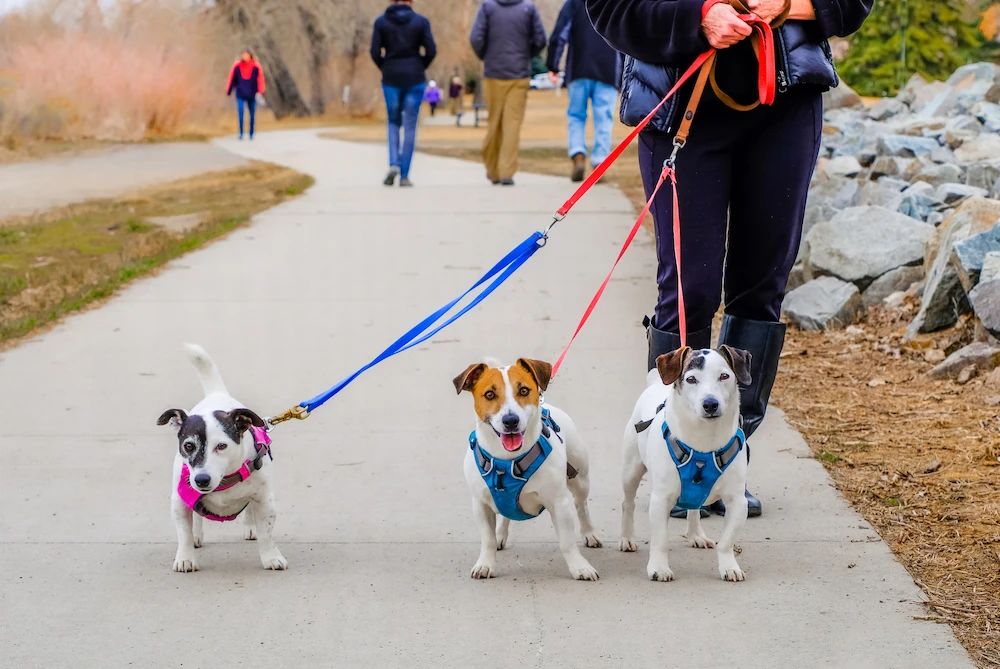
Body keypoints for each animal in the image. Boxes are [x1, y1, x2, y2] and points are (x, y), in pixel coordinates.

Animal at [156, 348, 288, 572]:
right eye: (188, 446)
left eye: (221, 446)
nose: (201, 479)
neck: (224, 479)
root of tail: (216, 394)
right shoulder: (180, 502)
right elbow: (184, 534)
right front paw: (185, 558)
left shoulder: (264, 500)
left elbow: (266, 534)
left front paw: (271, 557)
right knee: (195, 518)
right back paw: (197, 536)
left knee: (249, 510)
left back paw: (250, 528)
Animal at [454, 358, 600, 580]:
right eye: (489, 394)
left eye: (523, 390)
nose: (510, 421)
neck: (508, 461)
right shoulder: (480, 505)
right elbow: (487, 539)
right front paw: (486, 563)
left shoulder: (560, 504)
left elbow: (567, 542)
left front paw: (579, 567)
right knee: (505, 515)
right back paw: (500, 535)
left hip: (580, 479)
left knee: (581, 505)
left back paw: (589, 533)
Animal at [620, 344, 752, 580]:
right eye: (691, 379)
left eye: (724, 376)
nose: (710, 404)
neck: (704, 441)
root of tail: (655, 384)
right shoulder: (661, 499)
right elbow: (660, 540)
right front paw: (659, 567)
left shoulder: (738, 502)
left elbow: (726, 542)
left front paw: (729, 566)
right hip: (631, 470)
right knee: (628, 503)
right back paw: (627, 538)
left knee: (694, 507)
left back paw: (695, 534)